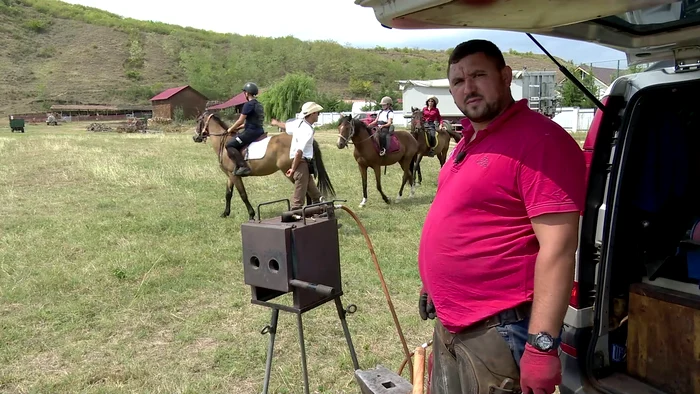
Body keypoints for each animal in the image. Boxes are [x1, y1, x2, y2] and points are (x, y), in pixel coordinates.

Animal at [191, 112, 334, 220]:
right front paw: (225, 213)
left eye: (198, 120)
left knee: (305, 189)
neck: (224, 142)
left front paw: (251, 215)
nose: (195, 137)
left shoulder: (234, 175)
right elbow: (228, 194)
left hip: (290, 171)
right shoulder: (230, 175)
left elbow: (243, 195)